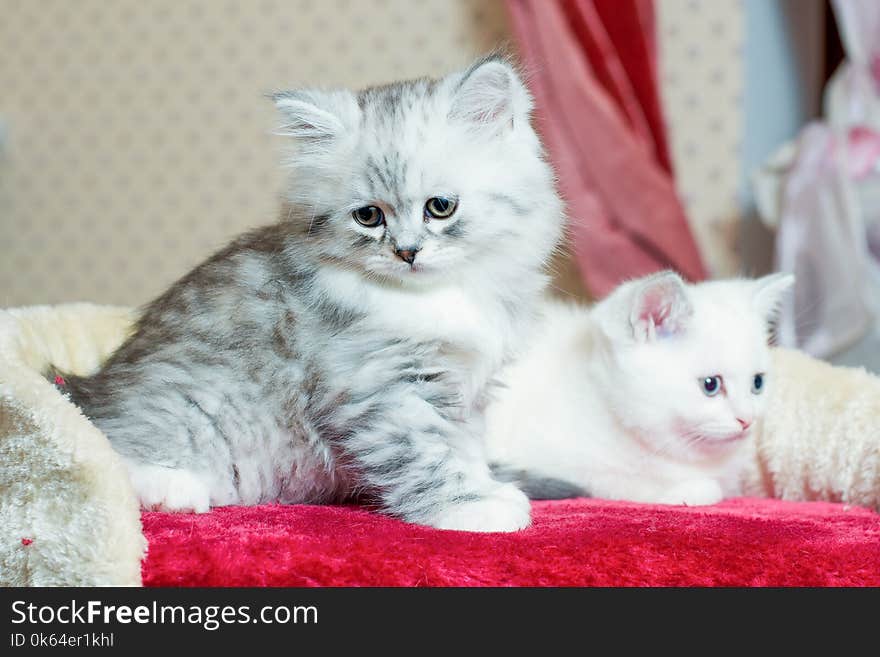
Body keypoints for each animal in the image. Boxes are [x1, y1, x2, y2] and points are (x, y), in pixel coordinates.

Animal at [56, 57, 564, 532]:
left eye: (440, 207)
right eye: (368, 217)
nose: (406, 252)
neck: (439, 296)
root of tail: (91, 387)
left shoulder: (466, 392)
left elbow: (466, 447)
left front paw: (490, 486)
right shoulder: (382, 387)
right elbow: (428, 455)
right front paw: (472, 507)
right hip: (194, 415)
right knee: (107, 454)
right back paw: (174, 489)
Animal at [484, 270, 796, 504]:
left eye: (758, 383)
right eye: (711, 385)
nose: (747, 419)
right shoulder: (558, 460)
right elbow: (614, 479)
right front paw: (689, 490)